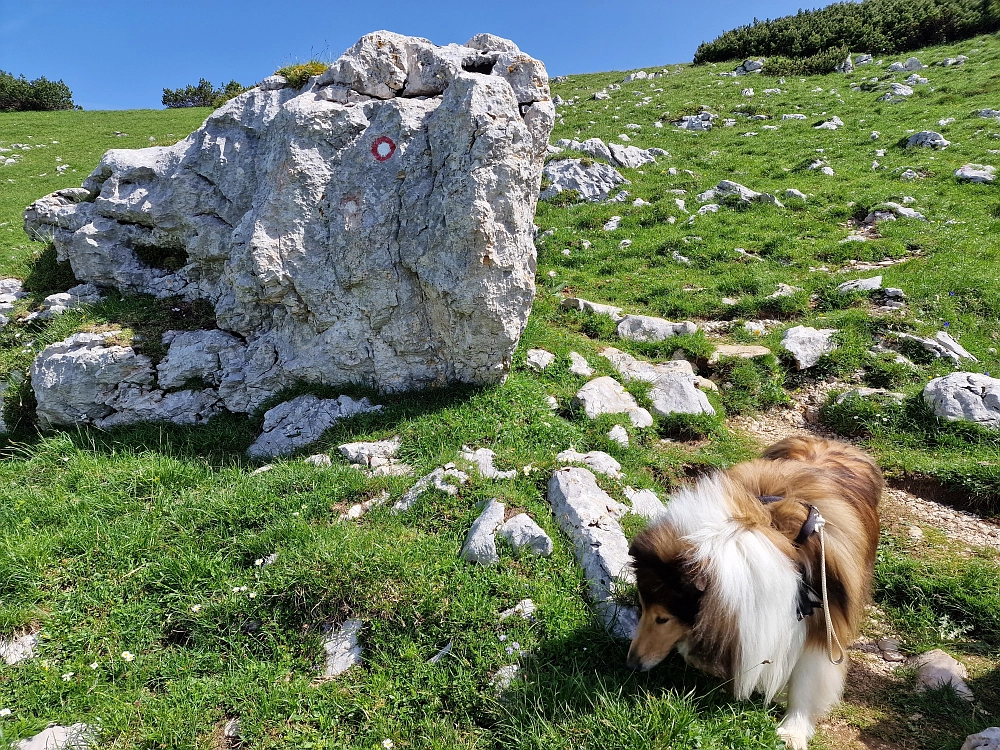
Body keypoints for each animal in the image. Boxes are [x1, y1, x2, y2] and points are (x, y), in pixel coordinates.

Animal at [628, 438, 880, 748]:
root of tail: (830, 442)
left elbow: (807, 680)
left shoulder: (825, 620)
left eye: (663, 618)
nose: (631, 663)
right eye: (642, 607)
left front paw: (793, 731)